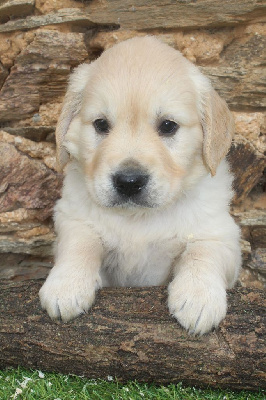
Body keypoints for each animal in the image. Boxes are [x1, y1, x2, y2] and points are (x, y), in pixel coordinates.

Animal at [39, 36, 241, 334]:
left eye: (168, 126)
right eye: (101, 124)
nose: (129, 182)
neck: (138, 218)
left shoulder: (222, 233)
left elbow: (203, 251)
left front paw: (198, 297)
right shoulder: (72, 215)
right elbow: (80, 241)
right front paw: (66, 286)